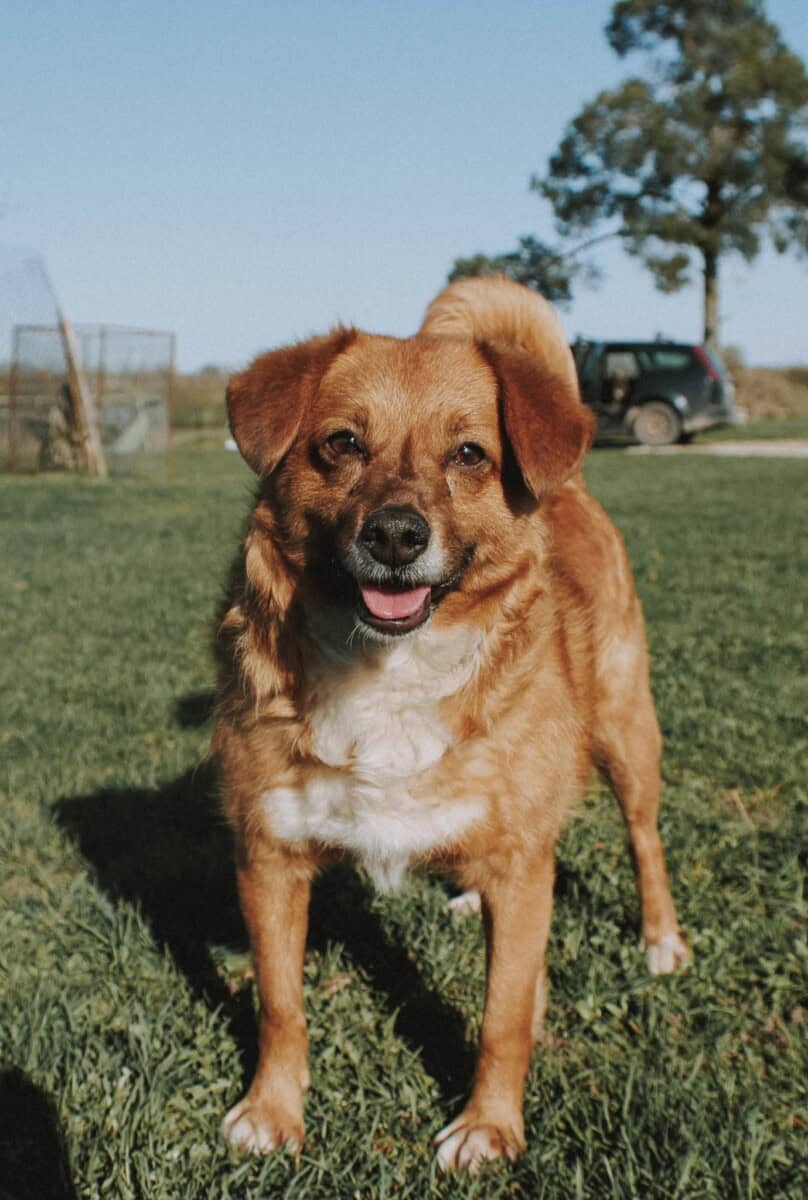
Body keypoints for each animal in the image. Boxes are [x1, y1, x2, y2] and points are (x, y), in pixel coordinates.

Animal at [213, 276, 689, 1172]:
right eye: (341, 444)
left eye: (469, 455)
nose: (397, 535)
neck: (390, 668)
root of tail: (571, 477)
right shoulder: (269, 857)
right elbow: (281, 1005)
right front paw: (272, 1110)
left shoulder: (524, 875)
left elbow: (504, 1017)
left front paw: (490, 1128)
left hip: (626, 735)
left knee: (645, 840)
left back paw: (661, 940)